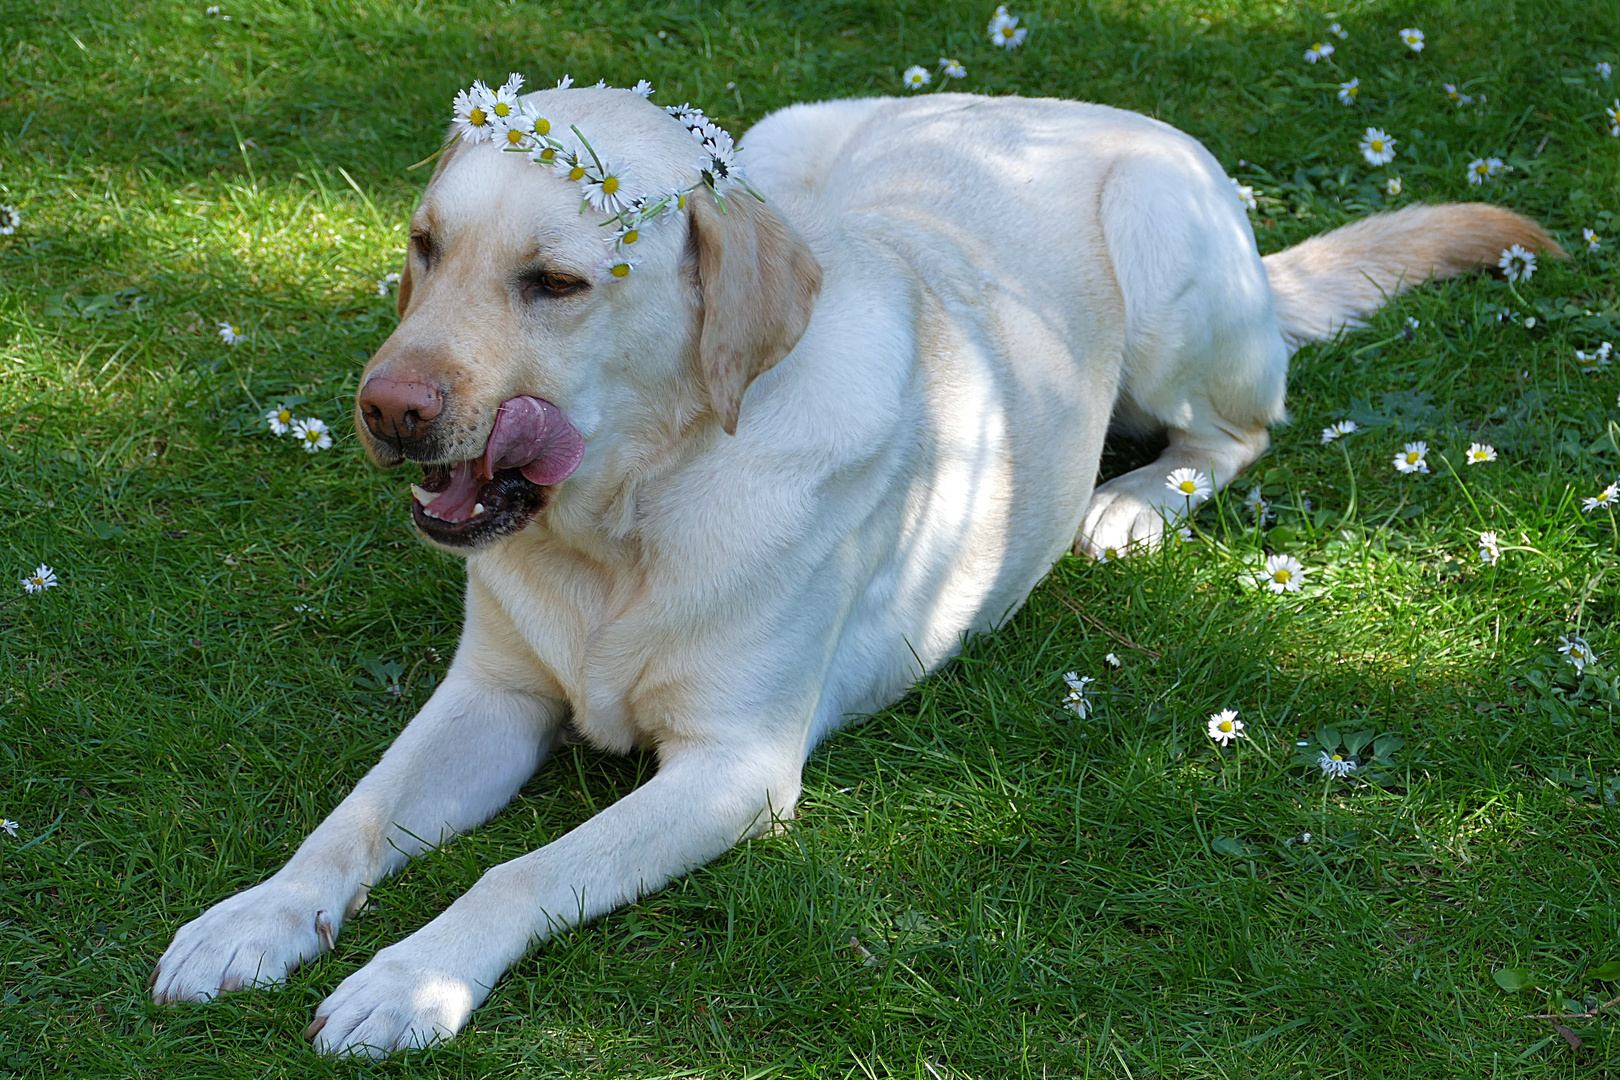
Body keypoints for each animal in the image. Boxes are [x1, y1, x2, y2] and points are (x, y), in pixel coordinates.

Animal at [149, 82, 1555, 1055]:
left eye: (553, 283)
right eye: (425, 247)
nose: (385, 408)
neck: (630, 517)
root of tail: (1070, 105)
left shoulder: (734, 769)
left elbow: (522, 870)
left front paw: (410, 978)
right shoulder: (491, 699)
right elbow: (355, 815)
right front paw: (255, 919)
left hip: (1168, 269)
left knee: (1241, 430)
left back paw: (1136, 505)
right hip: (788, 141)